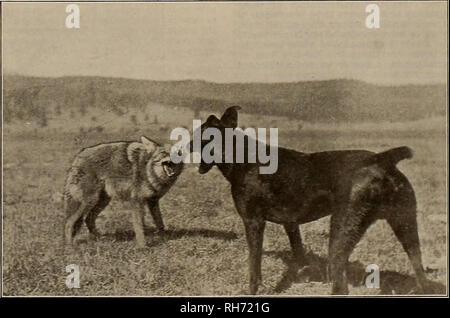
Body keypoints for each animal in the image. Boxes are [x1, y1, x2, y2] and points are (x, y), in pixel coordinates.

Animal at [192, 105, 428, 294]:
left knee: (341, 282)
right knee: (419, 268)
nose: (184, 145)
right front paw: (304, 272)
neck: (241, 157)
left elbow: (254, 265)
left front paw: (253, 290)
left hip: (341, 233)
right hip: (406, 226)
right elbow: (298, 251)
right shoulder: (290, 223)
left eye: (197, 135)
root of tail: (382, 159)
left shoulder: (253, 223)